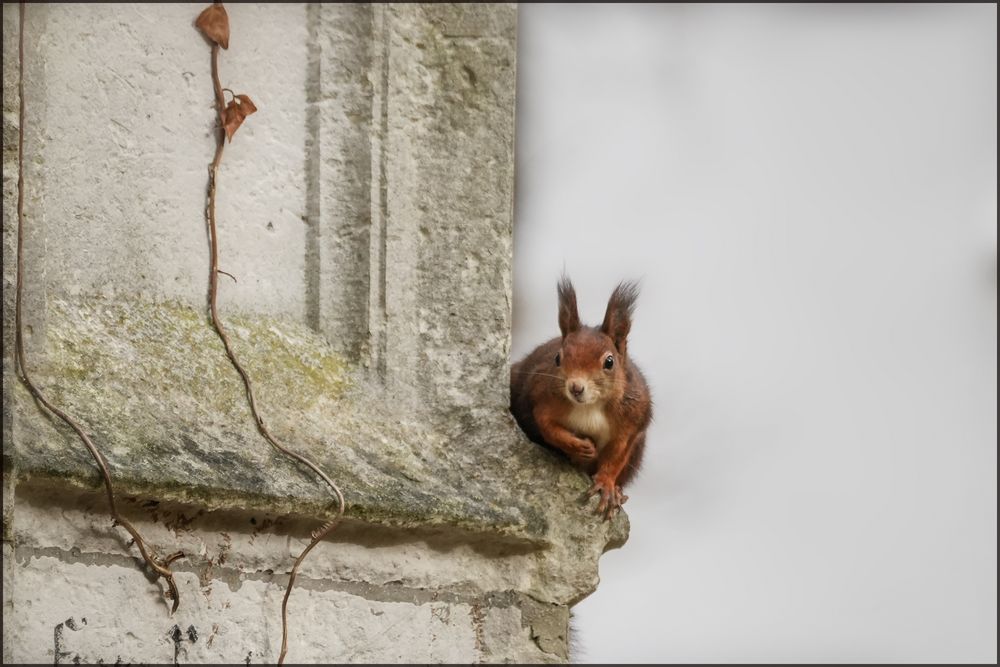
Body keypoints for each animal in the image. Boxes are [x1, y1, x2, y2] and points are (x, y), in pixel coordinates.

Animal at [512, 276, 652, 520]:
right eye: (557, 358)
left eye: (609, 362)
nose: (576, 388)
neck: (590, 406)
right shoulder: (542, 398)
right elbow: (547, 426)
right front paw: (578, 446)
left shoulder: (631, 421)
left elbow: (616, 456)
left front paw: (606, 485)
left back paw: (618, 492)